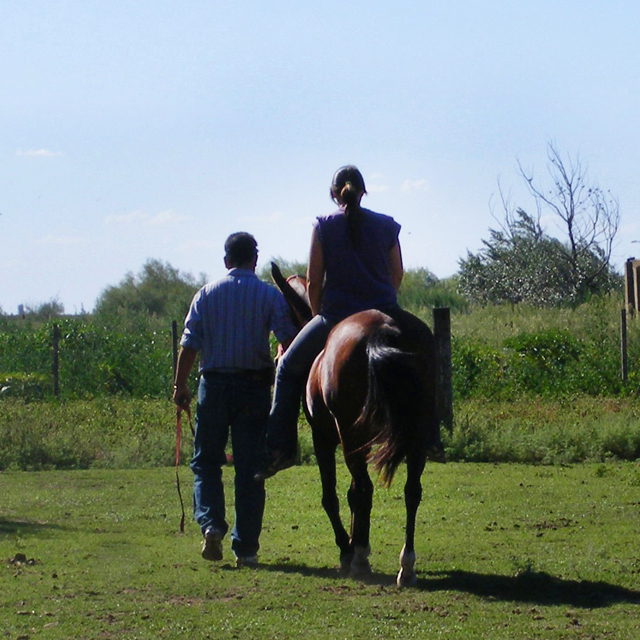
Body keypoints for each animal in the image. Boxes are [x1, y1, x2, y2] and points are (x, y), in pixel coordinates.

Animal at [270, 262, 440, 588]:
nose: (277, 356)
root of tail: (383, 329)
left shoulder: (323, 437)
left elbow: (332, 496)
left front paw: (347, 548)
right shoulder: (365, 440)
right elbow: (352, 496)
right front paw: (358, 538)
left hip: (349, 434)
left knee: (366, 487)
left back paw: (359, 557)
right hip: (414, 432)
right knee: (412, 491)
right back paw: (406, 565)